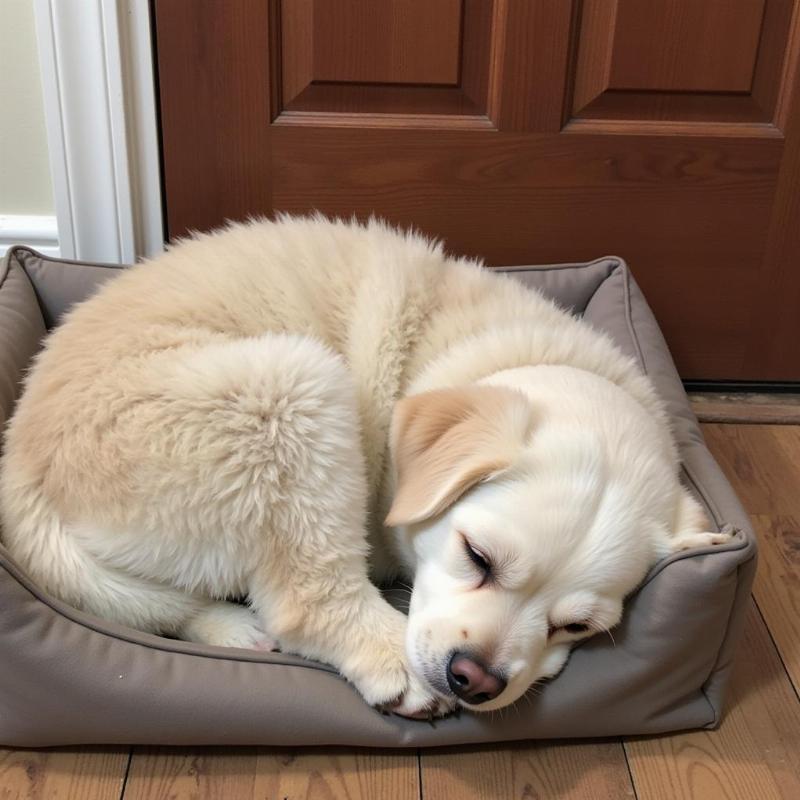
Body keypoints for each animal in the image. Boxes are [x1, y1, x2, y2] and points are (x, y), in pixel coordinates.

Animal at [0, 216, 728, 716]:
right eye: (478, 556)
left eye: (577, 627)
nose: (475, 681)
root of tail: (22, 457)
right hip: (289, 387)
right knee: (304, 600)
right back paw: (376, 653)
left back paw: (233, 630)